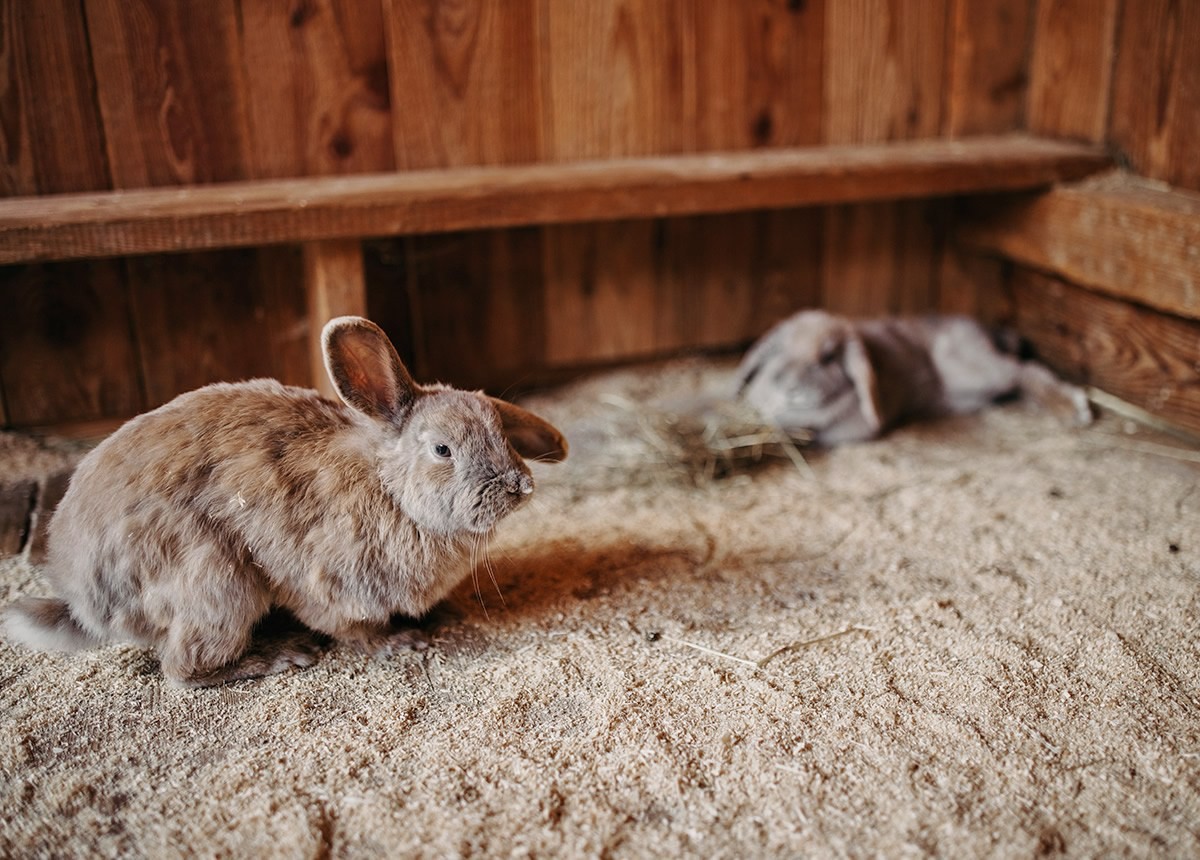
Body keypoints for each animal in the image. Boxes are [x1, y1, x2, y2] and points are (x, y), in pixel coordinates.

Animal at [1, 316, 567, 687]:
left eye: (501, 432)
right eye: (442, 450)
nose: (519, 486)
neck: (389, 487)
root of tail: (84, 601)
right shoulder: (325, 583)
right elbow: (356, 629)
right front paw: (400, 642)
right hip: (215, 584)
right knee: (181, 670)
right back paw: (280, 656)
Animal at [736, 309, 1092, 445]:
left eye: (828, 357)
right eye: (780, 349)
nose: (789, 384)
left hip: (975, 370)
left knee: (1025, 371)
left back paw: (1074, 408)